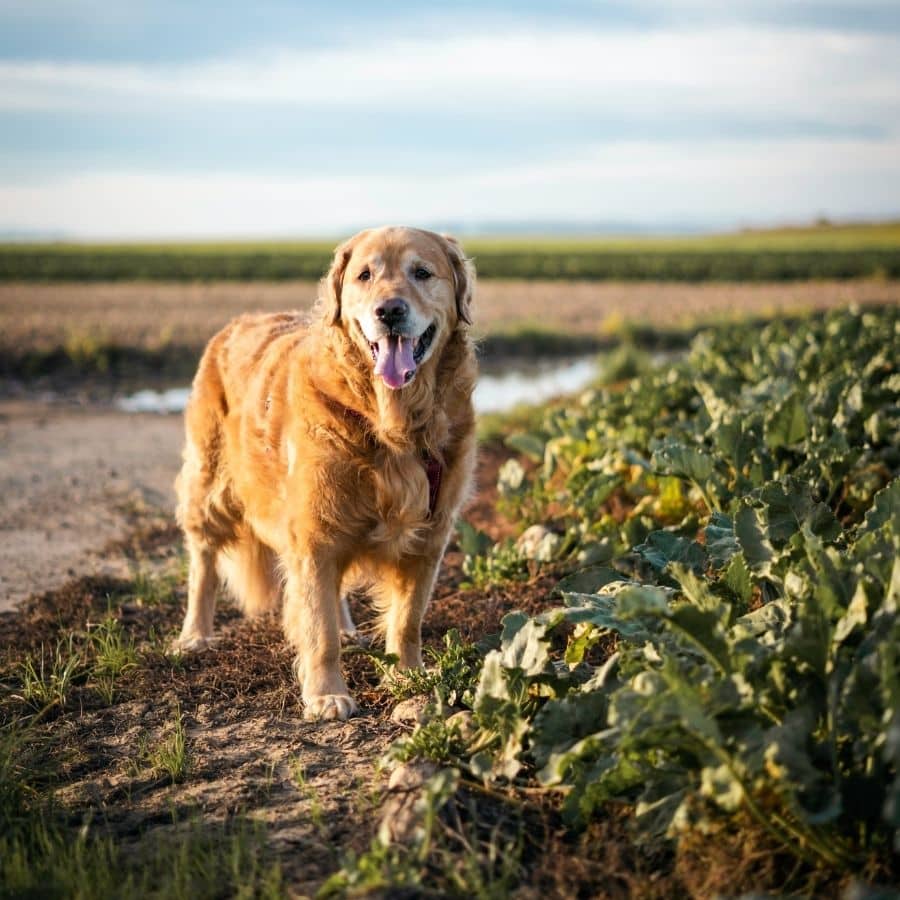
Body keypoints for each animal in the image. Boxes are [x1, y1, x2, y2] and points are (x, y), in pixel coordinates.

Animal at [174, 229, 478, 720]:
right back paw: (194, 636)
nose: (389, 311)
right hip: (210, 484)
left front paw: (408, 679)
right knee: (203, 561)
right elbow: (320, 630)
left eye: (422, 272)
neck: (391, 423)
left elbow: (407, 620)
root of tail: (235, 324)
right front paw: (326, 694)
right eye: (365, 275)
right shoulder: (313, 534)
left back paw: (350, 628)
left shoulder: (429, 536)